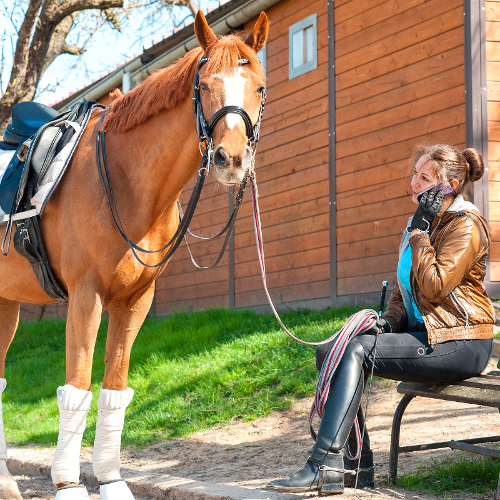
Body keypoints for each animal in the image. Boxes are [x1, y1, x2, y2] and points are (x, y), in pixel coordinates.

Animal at [0, 11, 268, 500]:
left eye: (258, 86)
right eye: (204, 85)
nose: (231, 159)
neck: (126, 180)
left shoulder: (134, 302)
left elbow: (114, 391)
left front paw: (110, 480)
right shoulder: (86, 297)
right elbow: (77, 387)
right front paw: (68, 484)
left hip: (7, 301)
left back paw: (7, 481)